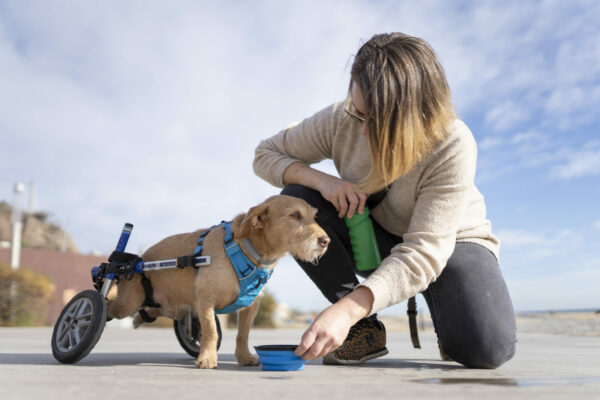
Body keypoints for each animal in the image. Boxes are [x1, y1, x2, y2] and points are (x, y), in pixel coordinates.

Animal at [103, 195, 328, 368]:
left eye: (314, 217)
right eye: (295, 215)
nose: (326, 241)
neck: (247, 250)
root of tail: (139, 260)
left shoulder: (250, 306)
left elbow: (242, 334)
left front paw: (244, 357)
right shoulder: (205, 301)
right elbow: (210, 331)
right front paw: (207, 358)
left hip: (172, 308)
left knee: (151, 310)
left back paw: (138, 319)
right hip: (127, 302)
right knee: (110, 306)